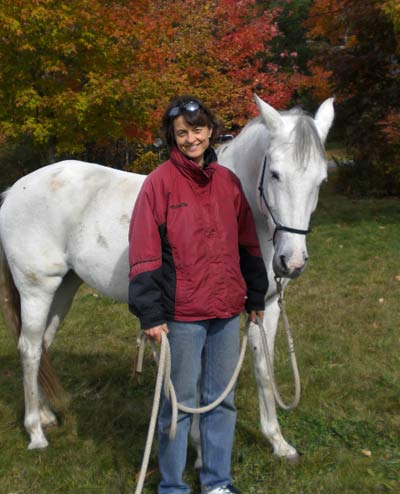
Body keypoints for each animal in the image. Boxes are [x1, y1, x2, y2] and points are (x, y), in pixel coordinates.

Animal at [0, 93, 334, 456]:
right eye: (274, 174)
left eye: (321, 181)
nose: (292, 261)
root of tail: (13, 191)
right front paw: (198, 446)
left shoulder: (265, 306)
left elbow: (263, 368)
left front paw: (277, 440)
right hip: (37, 291)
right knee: (29, 349)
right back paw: (35, 432)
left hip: (63, 289)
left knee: (42, 346)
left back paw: (46, 415)